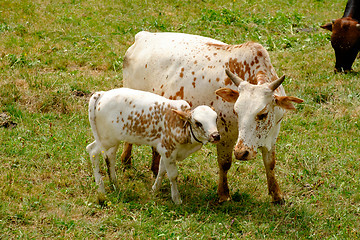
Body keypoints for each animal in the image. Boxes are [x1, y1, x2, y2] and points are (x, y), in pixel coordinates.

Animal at [86, 88, 219, 204]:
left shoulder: (166, 152)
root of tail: (102, 94)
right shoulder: (167, 150)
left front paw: (155, 190)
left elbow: (161, 171)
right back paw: (101, 189)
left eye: (216, 118)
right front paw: (176, 198)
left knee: (110, 157)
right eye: (198, 122)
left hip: (114, 140)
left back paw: (114, 183)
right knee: (92, 151)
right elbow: (172, 175)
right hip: (105, 139)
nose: (216, 136)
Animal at [121, 31, 304, 203]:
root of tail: (143, 36)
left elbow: (270, 164)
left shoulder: (272, 135)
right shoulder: (225, 136)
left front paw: (277, 195)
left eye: (263, 114)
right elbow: (225, 163)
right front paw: (223, 194)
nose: (241, 153)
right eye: (237, 111)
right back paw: (126, 161)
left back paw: (153, 168)